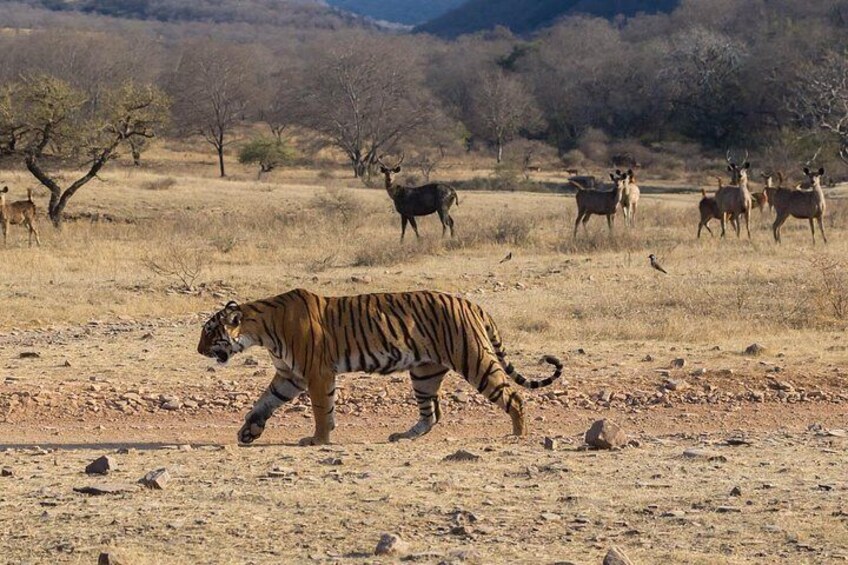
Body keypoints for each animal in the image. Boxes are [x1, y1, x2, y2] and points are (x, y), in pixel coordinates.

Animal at [197, 288, 563, 446]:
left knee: (513, 397)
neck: (260, 329)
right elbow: (263, 402)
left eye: (209, 332)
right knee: (431, 415)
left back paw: (518, 434)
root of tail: (471, 303)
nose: (198, 350)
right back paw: (403, 436)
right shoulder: (289, 375)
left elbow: (321, 409)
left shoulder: (316, 373)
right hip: (424, 372)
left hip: (474, 360)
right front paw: (249, 431)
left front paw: (318, 439)